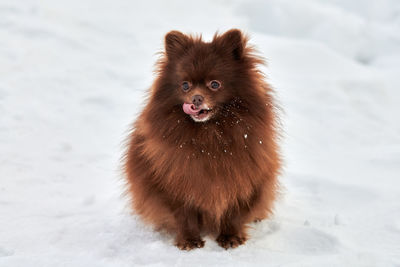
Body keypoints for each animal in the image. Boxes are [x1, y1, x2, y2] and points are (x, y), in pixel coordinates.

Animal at [123, 29, 280, 251]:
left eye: (215, 84)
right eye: (185, 85)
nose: (196, 99)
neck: (209, 137)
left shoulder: (244, 178)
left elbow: (234, 213)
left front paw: (230, 237)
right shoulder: (174, 182)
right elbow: (184, 215)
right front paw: (189, 240)